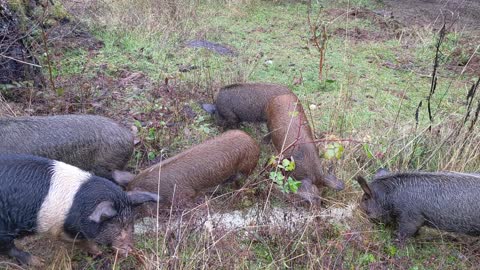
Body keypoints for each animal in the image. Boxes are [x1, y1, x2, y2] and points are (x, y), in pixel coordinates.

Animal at [0, 154, 160, 266]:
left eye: (131, 224)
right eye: (117, 227)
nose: (129, 250)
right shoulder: (63, 229)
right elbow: (81, 241)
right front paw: (98, 252)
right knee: (8, 247)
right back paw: (38, 262)